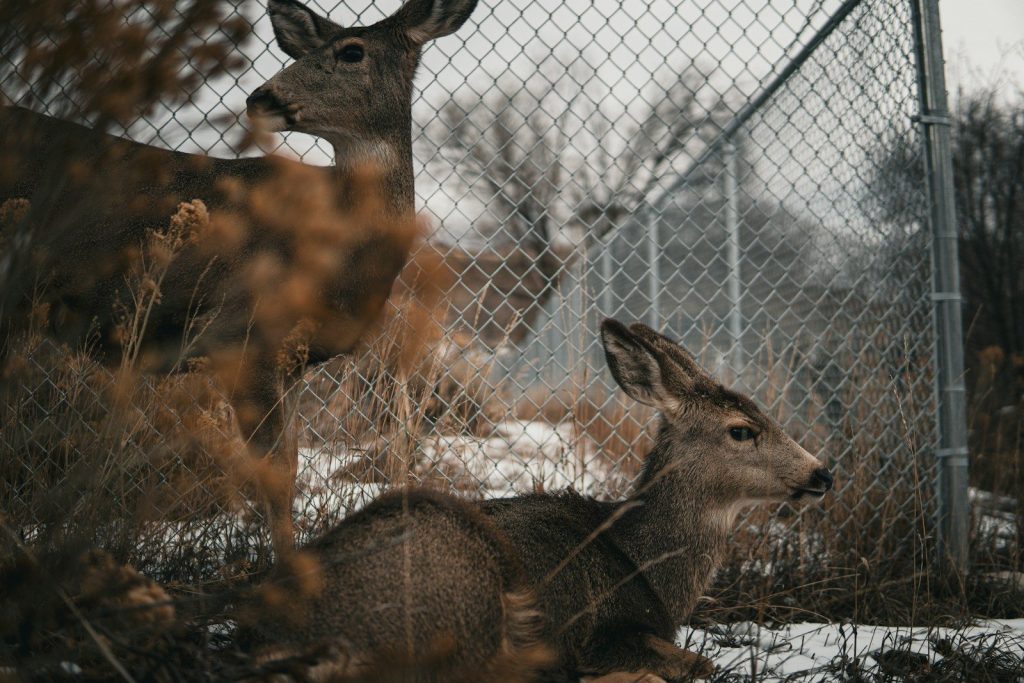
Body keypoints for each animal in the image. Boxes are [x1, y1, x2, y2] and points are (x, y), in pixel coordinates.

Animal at [0, 0, 479, 557]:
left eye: (351, 51)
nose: (261, 96)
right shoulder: (239, 334)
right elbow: (272, 473)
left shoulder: (292, 359)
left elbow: (290, 466)